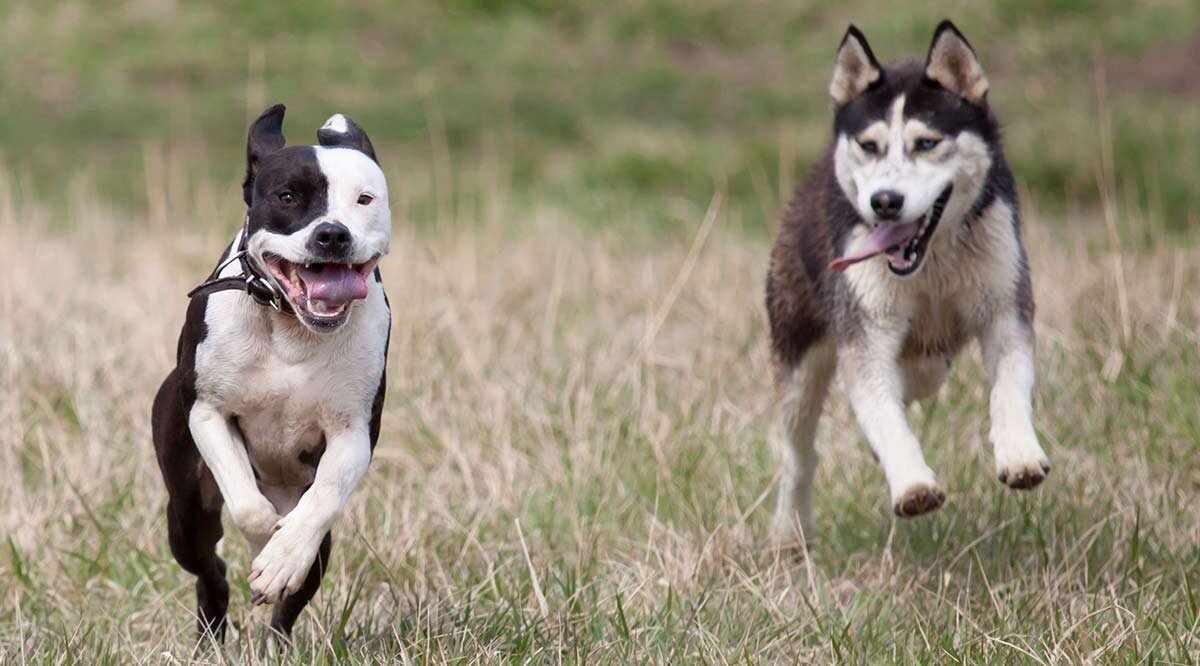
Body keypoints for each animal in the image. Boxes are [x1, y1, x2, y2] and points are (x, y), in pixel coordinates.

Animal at [152, 105, 391, 643]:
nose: (332, 234)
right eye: (287, 197)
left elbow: (324, 496)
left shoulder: (353, 433)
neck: (290, 326)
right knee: (210, 567)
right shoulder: (209, 414)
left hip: (317, 547)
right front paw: (265, 544)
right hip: (186, 514)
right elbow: (248, 505)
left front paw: (280, 559)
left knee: (292, 598)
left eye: (364, 199)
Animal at [768, 20, 1051, 547]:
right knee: (800, 453)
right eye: (869, 145)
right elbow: (881, 411)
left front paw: (1020, 454)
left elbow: (1008, 387)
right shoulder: (866, 333)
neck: (931, 263)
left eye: (927, 143)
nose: (884, 201)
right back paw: (788, 530)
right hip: (797, 352)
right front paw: (913, 484)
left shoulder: (1004, 306)